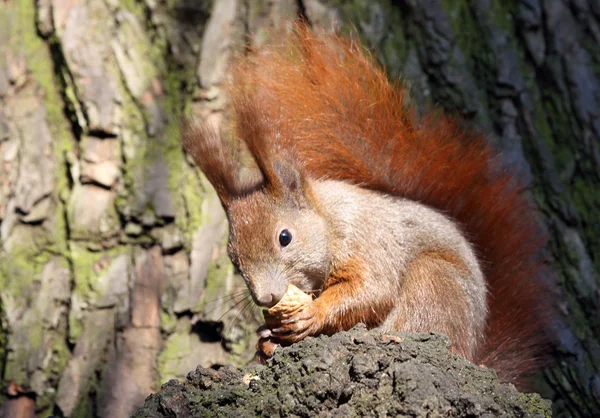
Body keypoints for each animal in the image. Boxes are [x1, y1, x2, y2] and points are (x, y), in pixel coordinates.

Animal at [183, 22, 552, 388]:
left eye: (284, 237)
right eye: (233, 259)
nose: (265, 298)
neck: (329, 220)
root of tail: (474, 353)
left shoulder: (368, 240)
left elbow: (372, 290)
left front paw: (312, 314)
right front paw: (266, 335)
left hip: (434, 282)